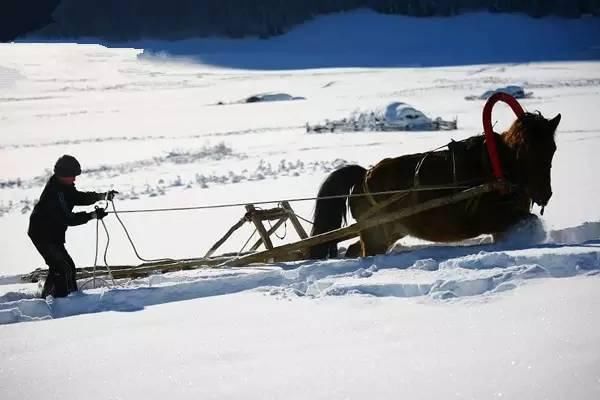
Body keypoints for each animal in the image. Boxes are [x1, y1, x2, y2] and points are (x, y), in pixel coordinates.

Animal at [310, 101, 564, 260]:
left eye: (552, 149)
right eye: (524, 149)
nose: (544, 193)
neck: (498, 167)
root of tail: (363, 176)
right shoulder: (496, 219)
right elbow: (529, 221)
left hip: (389, 232)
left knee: (354, 249)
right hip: (376, 235)